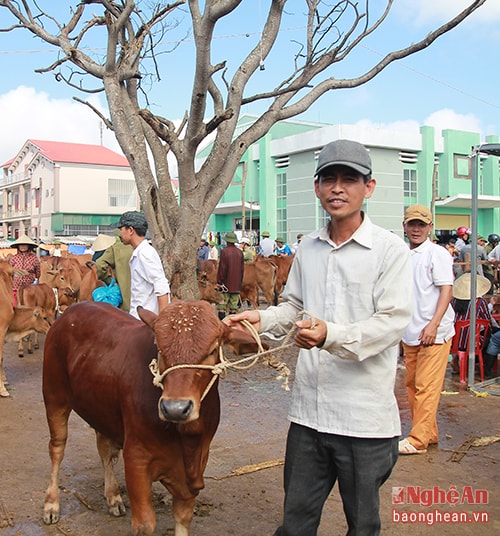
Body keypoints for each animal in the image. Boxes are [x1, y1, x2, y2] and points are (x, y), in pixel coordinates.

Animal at [41, 300, 264, 532]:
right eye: (160, 349)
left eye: (212, 350)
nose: (175, 408)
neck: (188, 439)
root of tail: (70, 311)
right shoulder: (136, 459)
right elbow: (145, 524)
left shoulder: (198, 464)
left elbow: (183, 518)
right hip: (54, 397)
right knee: (57, 448)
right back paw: (51, 505)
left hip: (100, 408)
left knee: (103, 447)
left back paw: (113, 497)